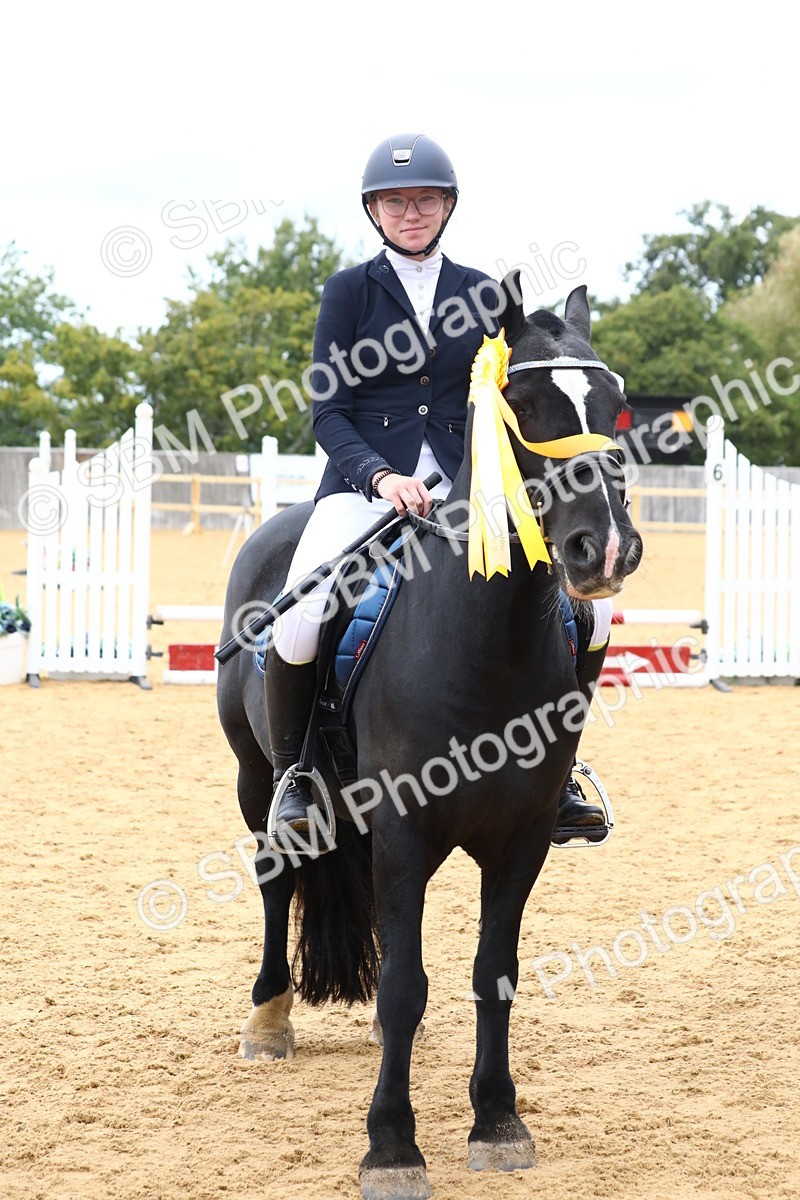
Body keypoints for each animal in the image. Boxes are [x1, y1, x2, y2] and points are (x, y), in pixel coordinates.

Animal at [215, 270, 643, 1200]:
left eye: (616, 403)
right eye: (524, 401)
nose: (606, 550)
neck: (487, 643)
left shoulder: (522, 838)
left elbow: (494, 976)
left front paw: (498, 1123)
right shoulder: (407, 830)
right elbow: (409, 987)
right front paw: (391, 1146)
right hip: (255, 778)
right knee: (276, 873)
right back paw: (268, 1020)